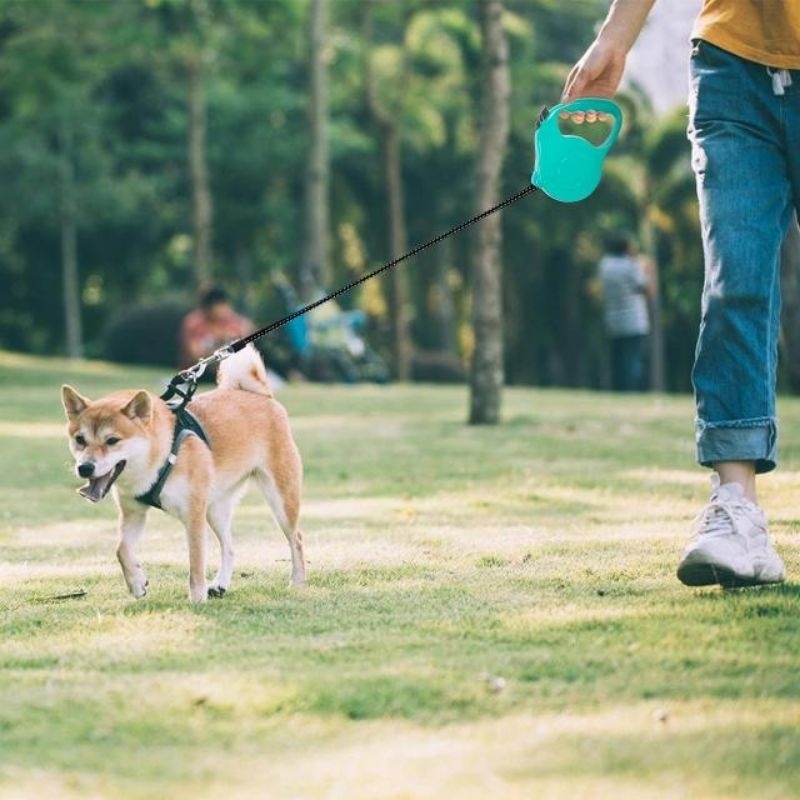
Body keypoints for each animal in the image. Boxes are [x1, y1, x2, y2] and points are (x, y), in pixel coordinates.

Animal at [61, 346, 306, 604]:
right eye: (80, 439)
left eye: (112, 441)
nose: (85, 467)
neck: (160, 455)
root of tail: (261, 396)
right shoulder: (134, 513)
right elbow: (121, 549)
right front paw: (137, 583)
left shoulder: (193, 514)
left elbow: (195, 563)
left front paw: (197, 599)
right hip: (215, 508)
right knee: (229, 547)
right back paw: (220, 584)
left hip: (280, 500)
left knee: (296, 539)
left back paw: (298, 582)